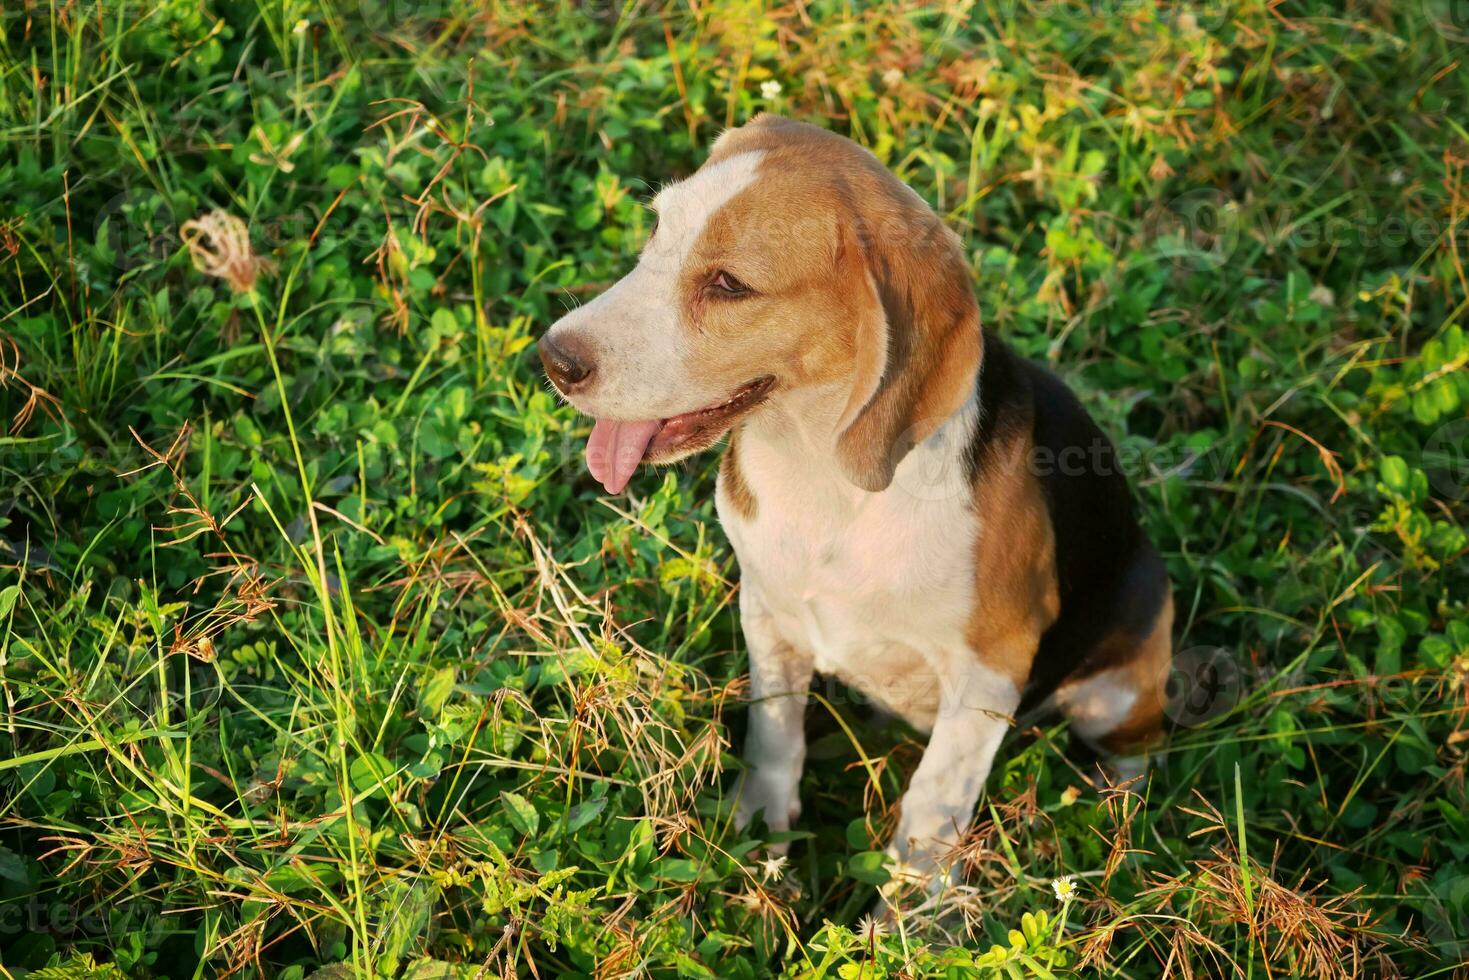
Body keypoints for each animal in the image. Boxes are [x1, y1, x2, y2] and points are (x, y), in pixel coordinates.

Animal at [540, 113, 1169, 899]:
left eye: (729, 284)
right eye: (658, 229)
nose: (553, 358)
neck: (823, 479)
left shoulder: (988, 672)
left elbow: (930, 810)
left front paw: (904, 918)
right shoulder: (768, 612)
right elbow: (774, 731)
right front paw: (761, 831)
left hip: (1120, 685)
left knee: (1136, 754)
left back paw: (1119, 828)